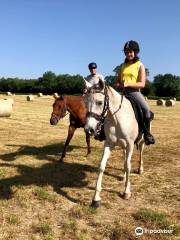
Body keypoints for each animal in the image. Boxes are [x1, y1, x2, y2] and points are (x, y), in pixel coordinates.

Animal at [84, 79, 145, 207]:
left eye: (99, 102)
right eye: (85, 103)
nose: (88, 129)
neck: (117, 119)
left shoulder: (130, 144)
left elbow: (128, 166)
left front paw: (126, 192)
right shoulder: (109, 143)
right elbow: (102, 166)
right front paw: (96, 198)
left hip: (141, 141)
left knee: (140, 152)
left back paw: (140, 169)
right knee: (125, 159)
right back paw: (123, 176)